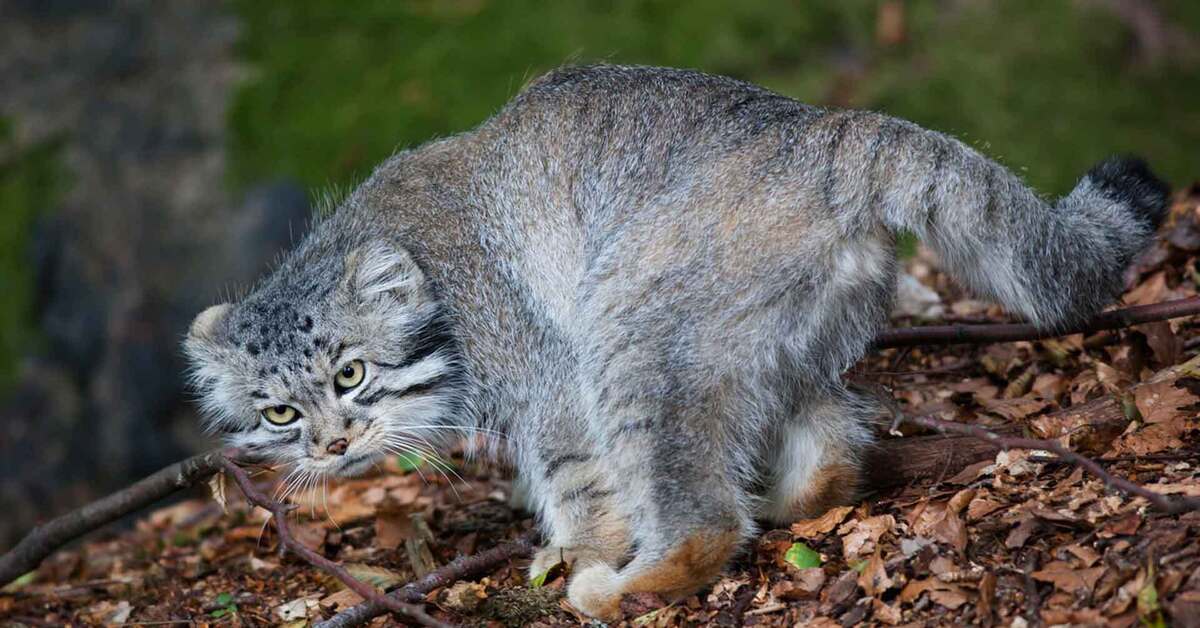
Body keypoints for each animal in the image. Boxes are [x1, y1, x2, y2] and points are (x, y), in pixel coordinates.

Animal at [184, 65, 1161, 619]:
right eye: (280, 412)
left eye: (351, 374)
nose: (332, 445)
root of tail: (824, 129)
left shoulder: (548, 381)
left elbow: (578, 477)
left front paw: (578, 548)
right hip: (770, 331)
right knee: (832, 436)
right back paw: (798, 493)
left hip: (629, 328)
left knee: (701, 518)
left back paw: (628, 587)